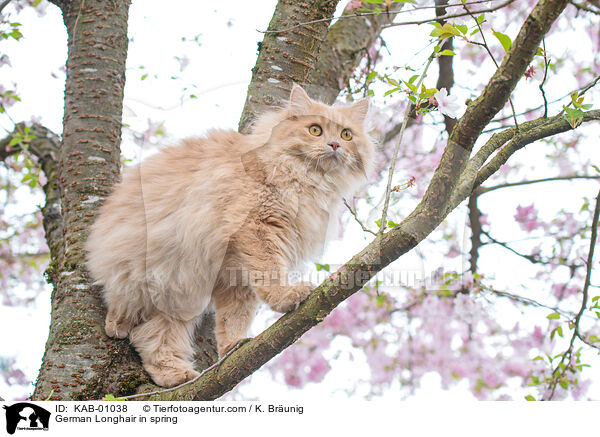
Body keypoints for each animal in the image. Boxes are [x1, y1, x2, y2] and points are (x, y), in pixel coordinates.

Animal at [85, 83, 376, 386]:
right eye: (315, 130)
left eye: (346, 135)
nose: (335, 145)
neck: (308, 182)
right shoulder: (257, 230)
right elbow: (270, 277)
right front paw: (286, 297)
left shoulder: (237, 273)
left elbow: (234, 317)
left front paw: (233, 348)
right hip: (151, 274)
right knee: (124, 310)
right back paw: (117, 325)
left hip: (177, 296)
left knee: (153, 339)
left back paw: (175, 375)